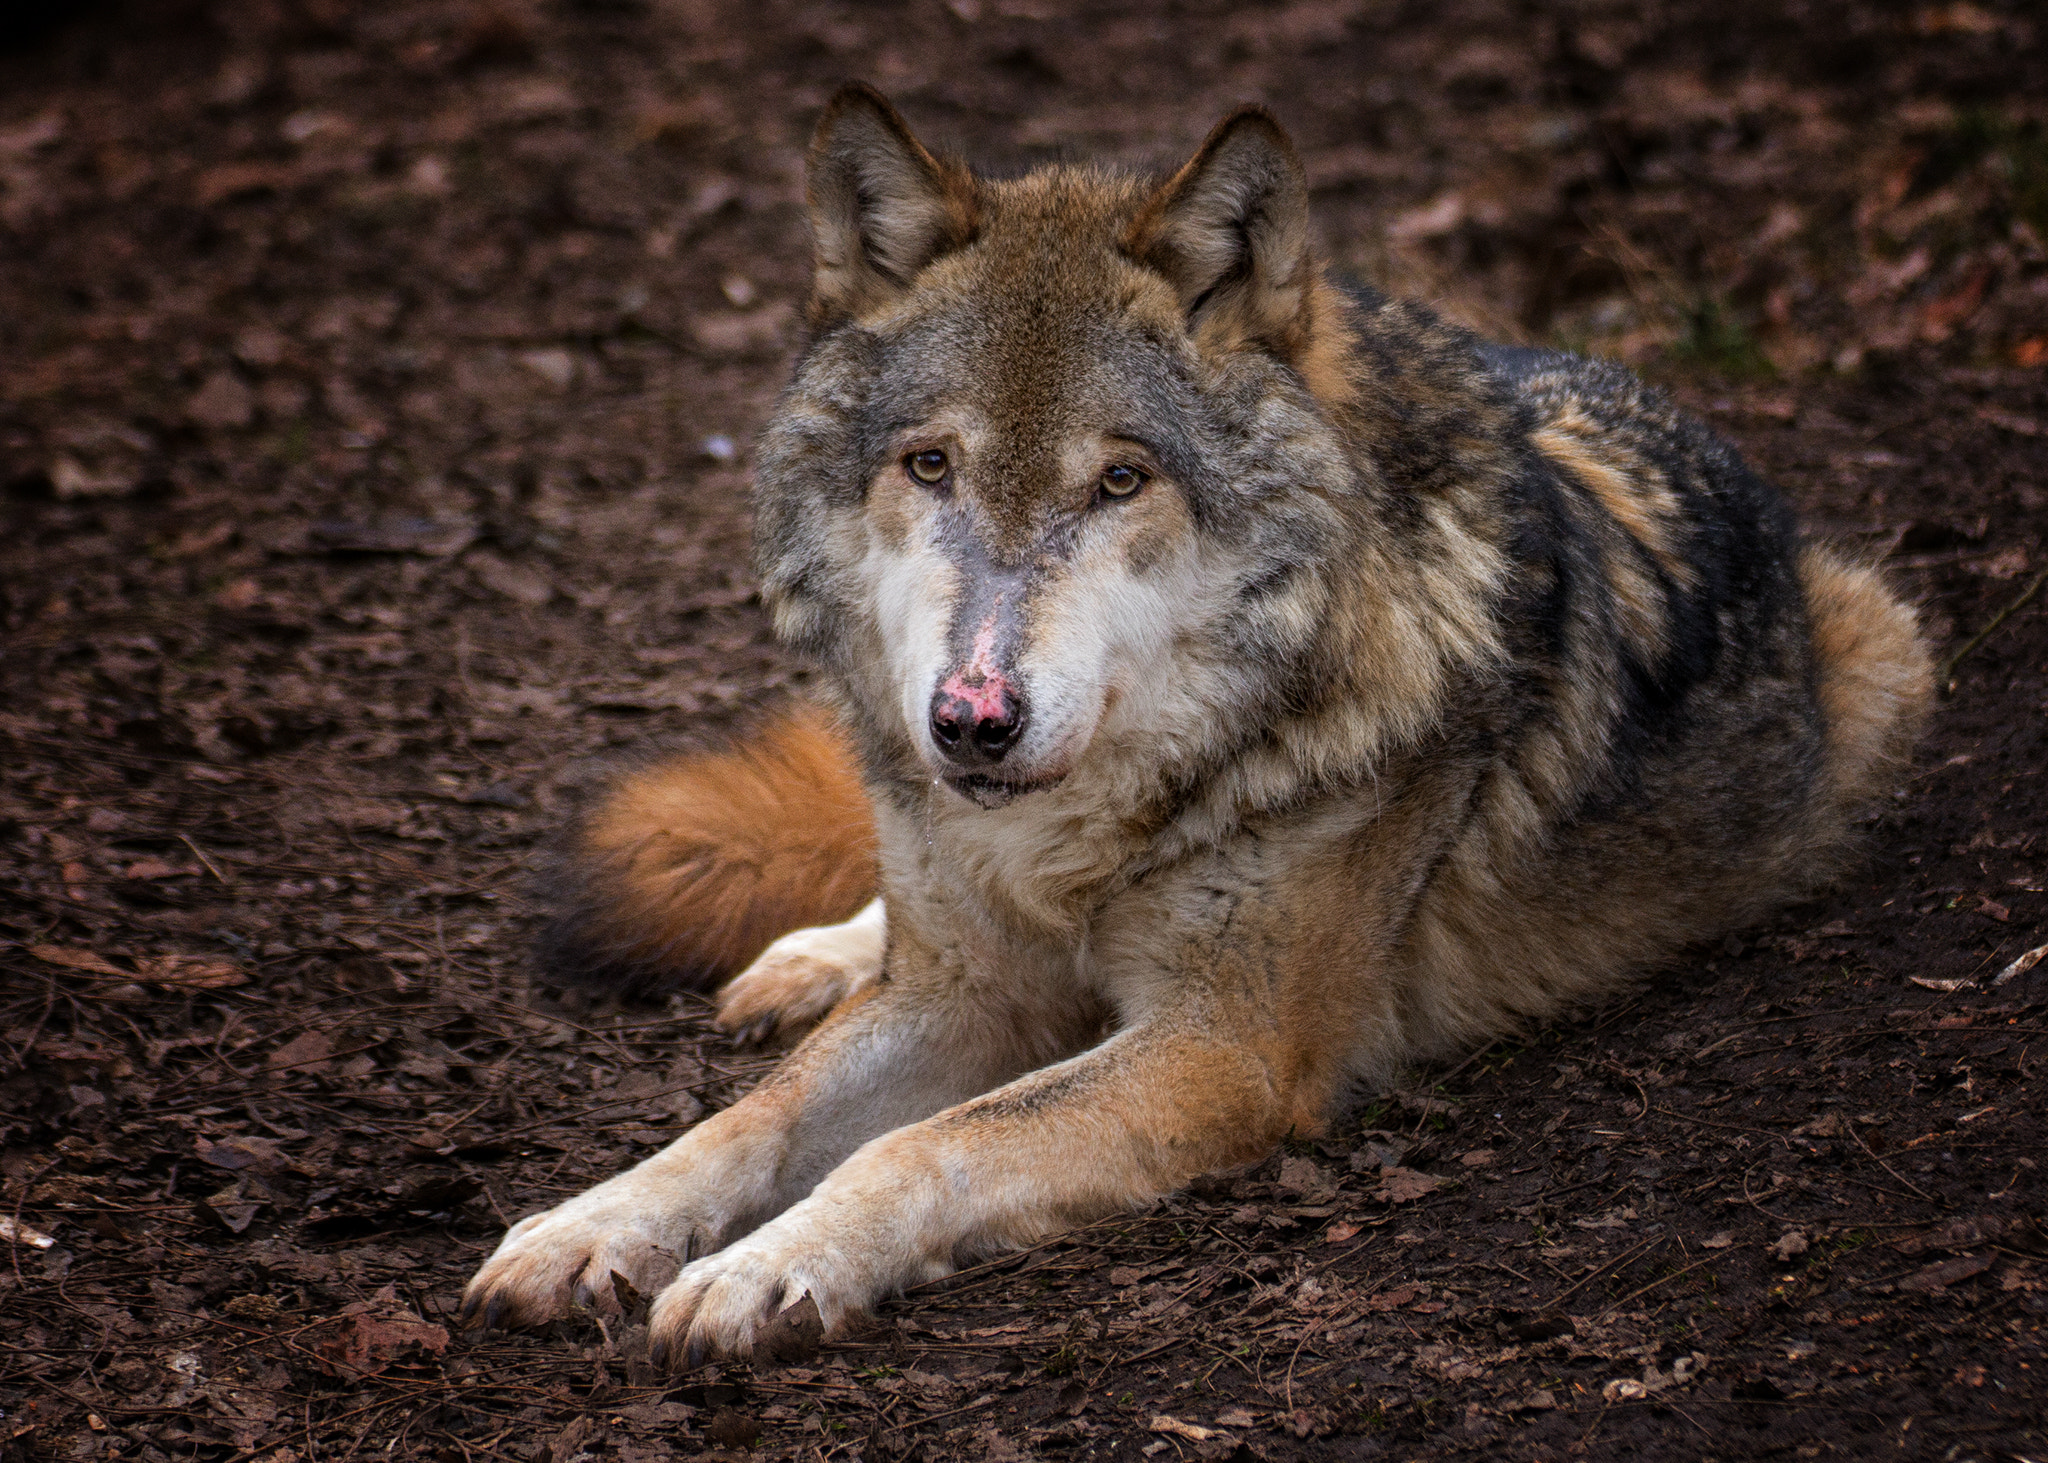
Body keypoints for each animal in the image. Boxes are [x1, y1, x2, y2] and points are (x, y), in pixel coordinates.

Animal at [462, 84, 1930, 1364]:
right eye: (929, 464)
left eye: (1121, 480)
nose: (970, 722)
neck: (1076, 841)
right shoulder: (968, 990)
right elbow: (745, 1121)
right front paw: (589, 1222)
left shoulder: (1226, 1047)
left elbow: (929, 1140)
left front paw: (769, 1264)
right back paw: (810, 957)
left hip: (1897, 646)